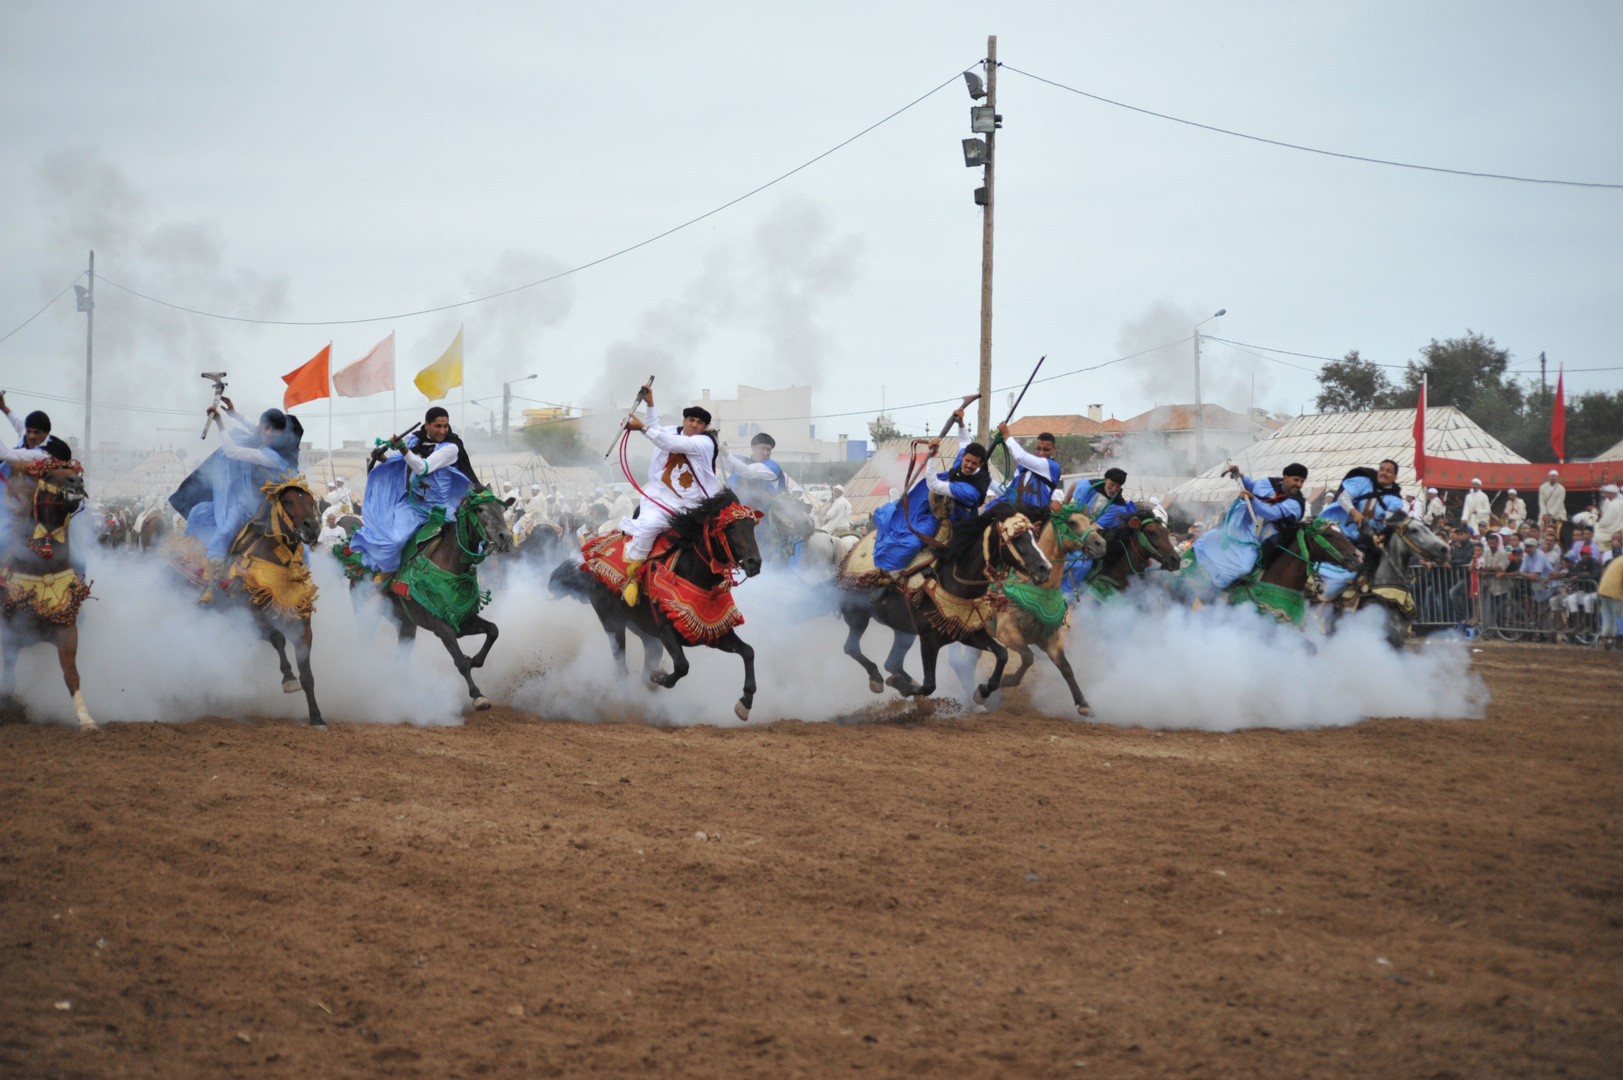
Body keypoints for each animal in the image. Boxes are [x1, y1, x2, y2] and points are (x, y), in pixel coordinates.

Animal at [0, 457, 97, 727]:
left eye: (74, 471)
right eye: (51, 474)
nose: (76, 482)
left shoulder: (67, 630)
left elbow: (71, 674)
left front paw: (85, 718)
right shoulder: (9, 635)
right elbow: (8, 676)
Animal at [551, 493, 766, 721]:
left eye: (752, 525)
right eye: (730, 527)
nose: (754, 562)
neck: (696, 578)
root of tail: (592, 572)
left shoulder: (712, 633)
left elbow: (748, 651)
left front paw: (745, 703)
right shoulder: (666, 631)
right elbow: (682, 666)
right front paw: (660, 677)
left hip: (647, 635)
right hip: (612, 623)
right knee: (621, 667)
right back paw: (625, 707)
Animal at [837, 500, 1051, 704]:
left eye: (1034, 534)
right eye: (1016, 537)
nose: (1045, 569)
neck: (953, 582)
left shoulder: (967, 632)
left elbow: (1002, 654)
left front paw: (982, 692)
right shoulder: (929, 640)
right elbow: (929, 685)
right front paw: (902, 686)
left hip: (903, 630)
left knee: (892, 662)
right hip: (857, 617)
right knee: (851, 648)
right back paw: (877, 679)